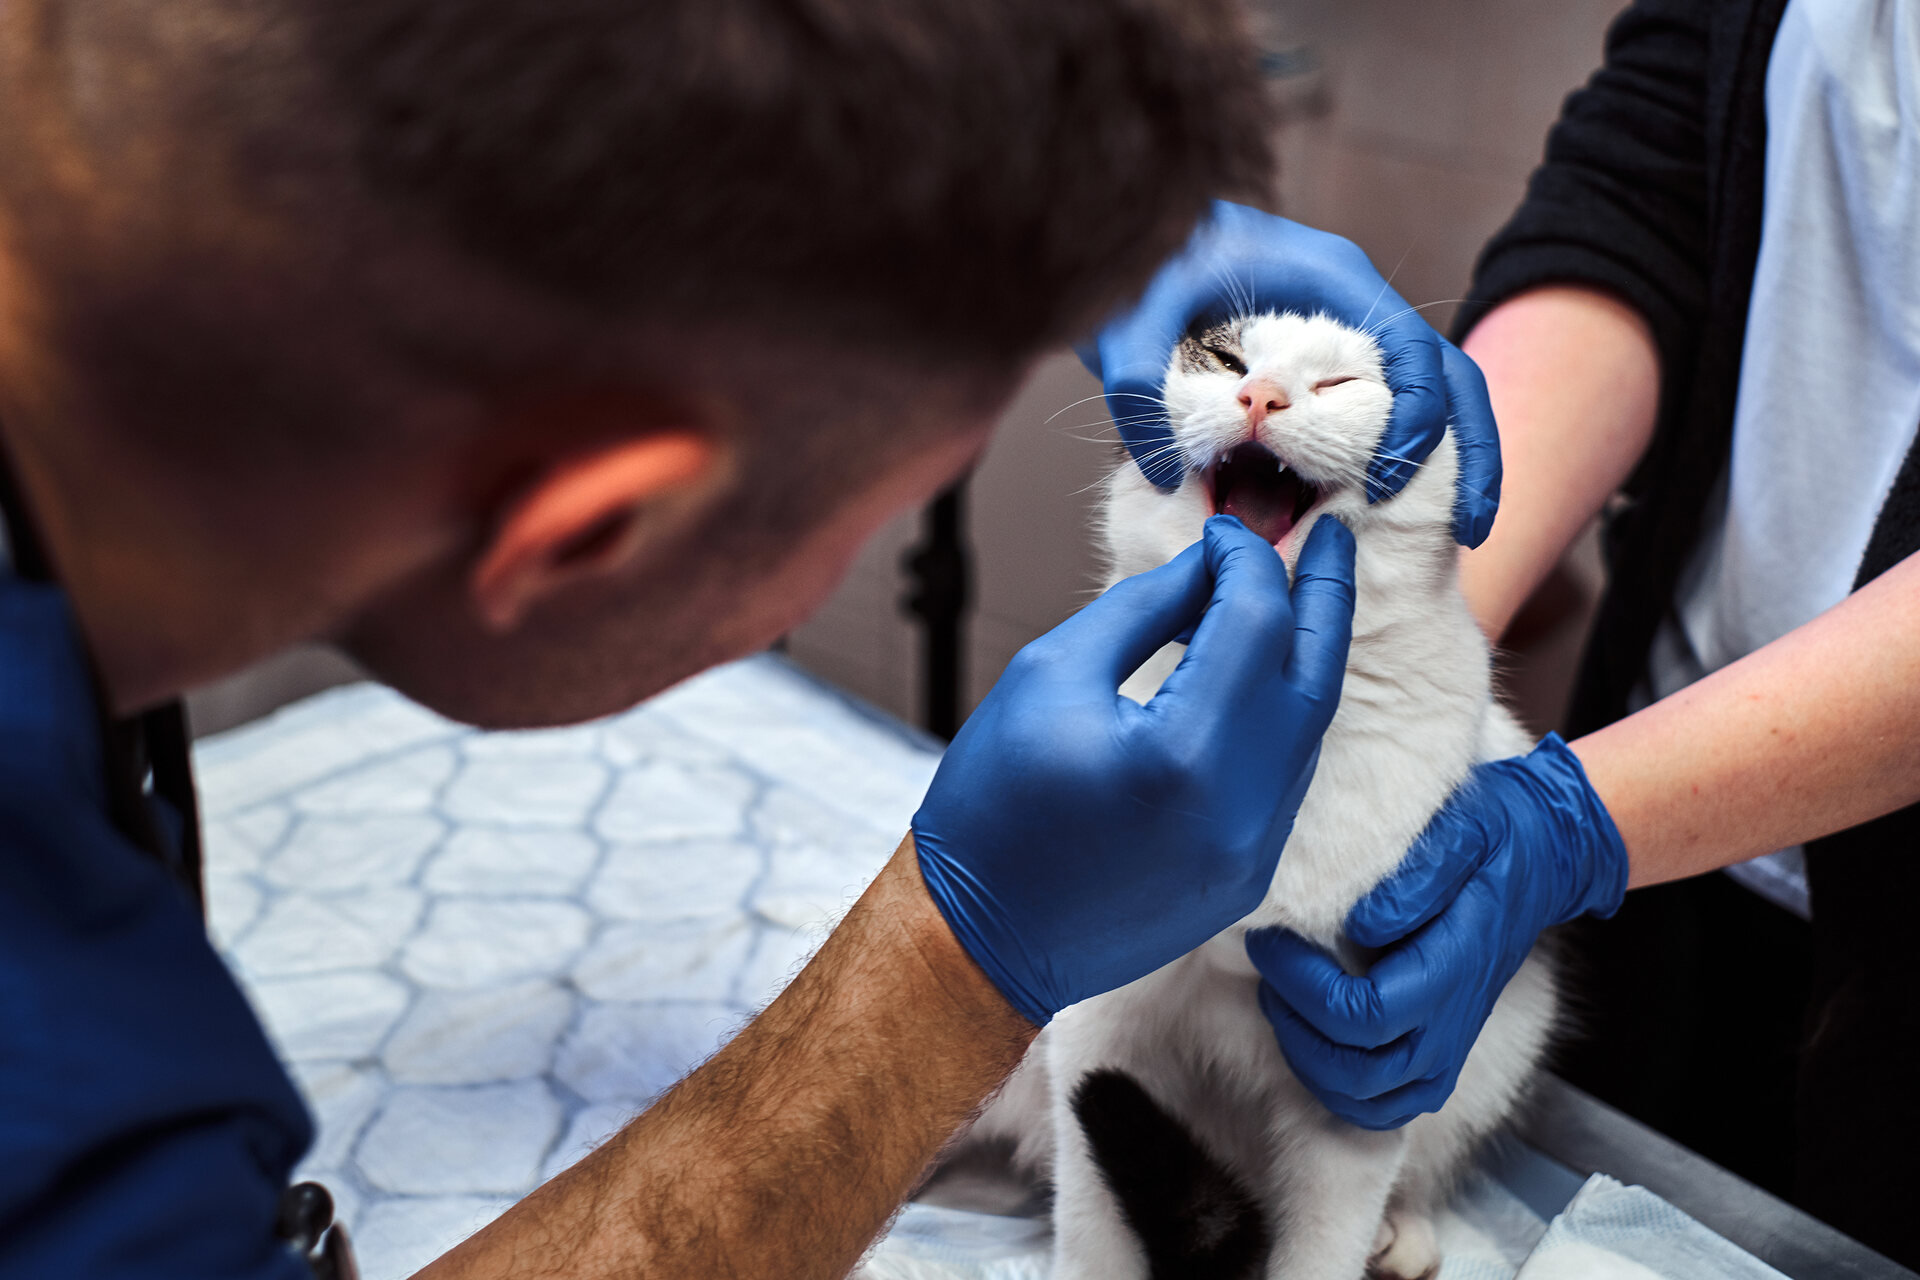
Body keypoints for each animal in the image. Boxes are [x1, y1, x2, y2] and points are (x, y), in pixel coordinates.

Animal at [960, 310, 1559, 1280]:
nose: (1261, 396)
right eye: (1227, 358)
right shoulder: (1100, 1030)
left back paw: (1404, 1236)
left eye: (1341, 385)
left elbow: (1319, 1247)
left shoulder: (1360, 1074)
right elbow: (1094, 1231)